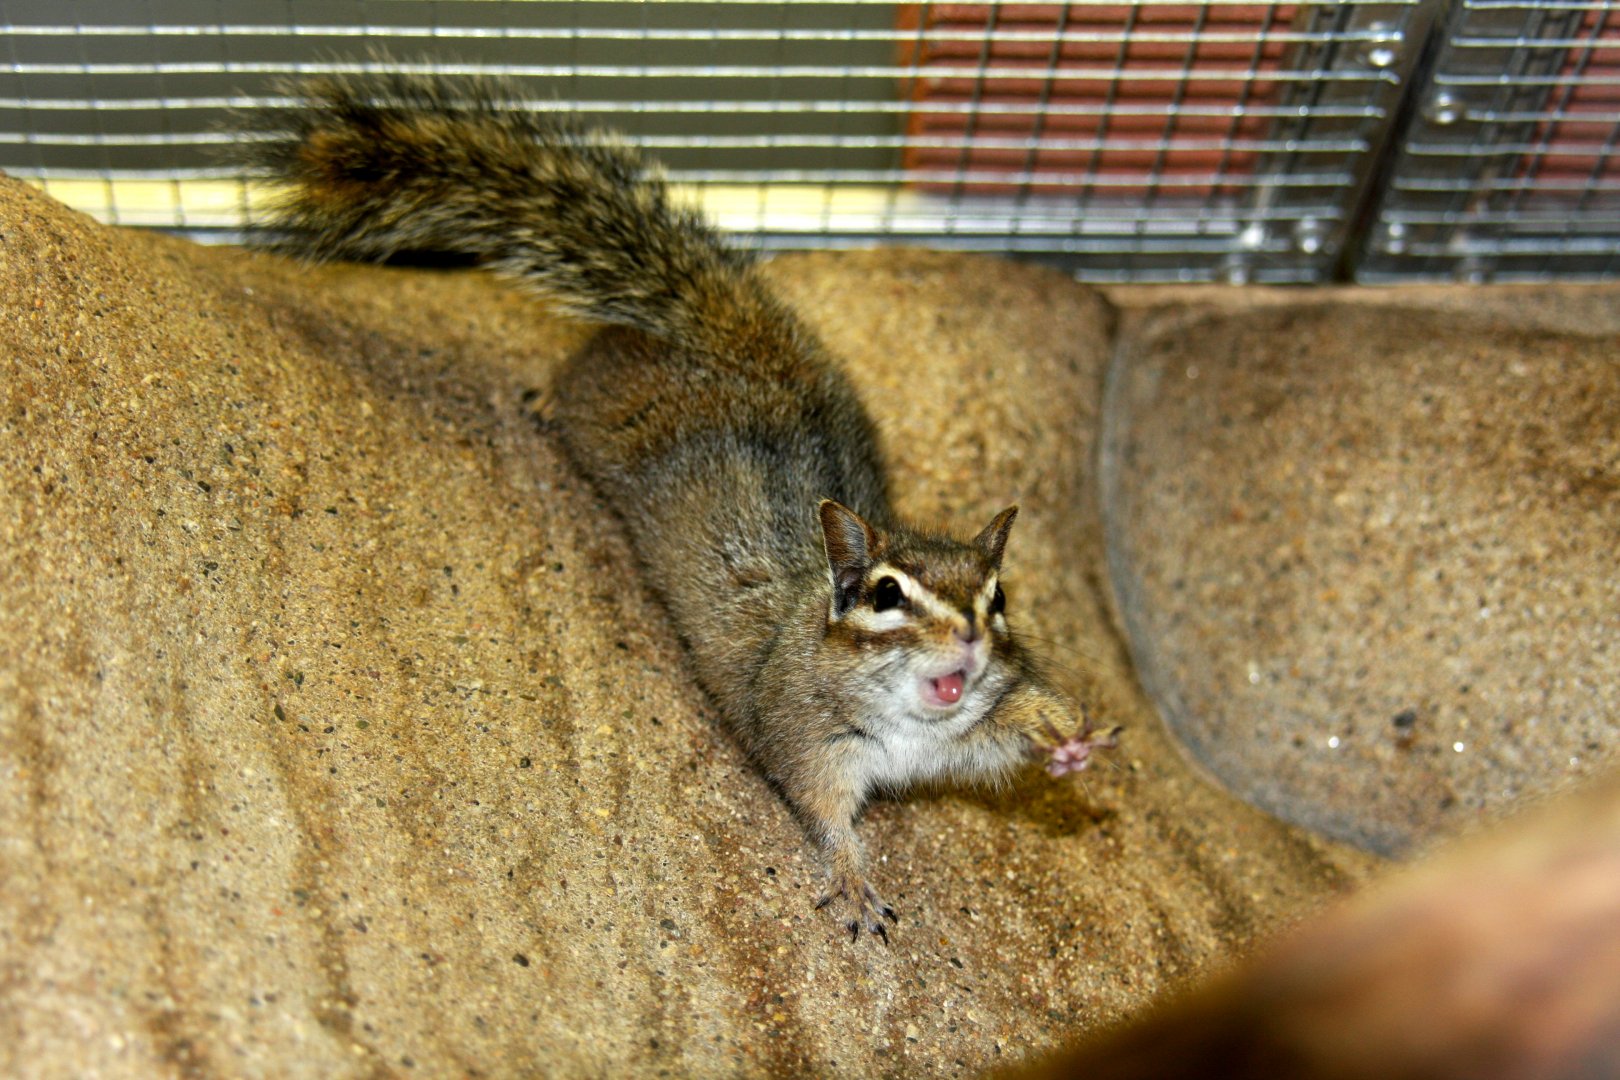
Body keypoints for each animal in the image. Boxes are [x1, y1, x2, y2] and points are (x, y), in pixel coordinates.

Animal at [240, 73, 1119, 942]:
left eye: (998, 600)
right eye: (885, 595)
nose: (969, 636)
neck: (912, 730)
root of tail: (741, 346)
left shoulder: (968, 736)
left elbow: (1013, 729)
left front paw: (1073, 740)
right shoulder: (805, 739)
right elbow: (824, 816)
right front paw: (852, 880)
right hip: (606, 401)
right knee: (585, 366)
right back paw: (542, 396)